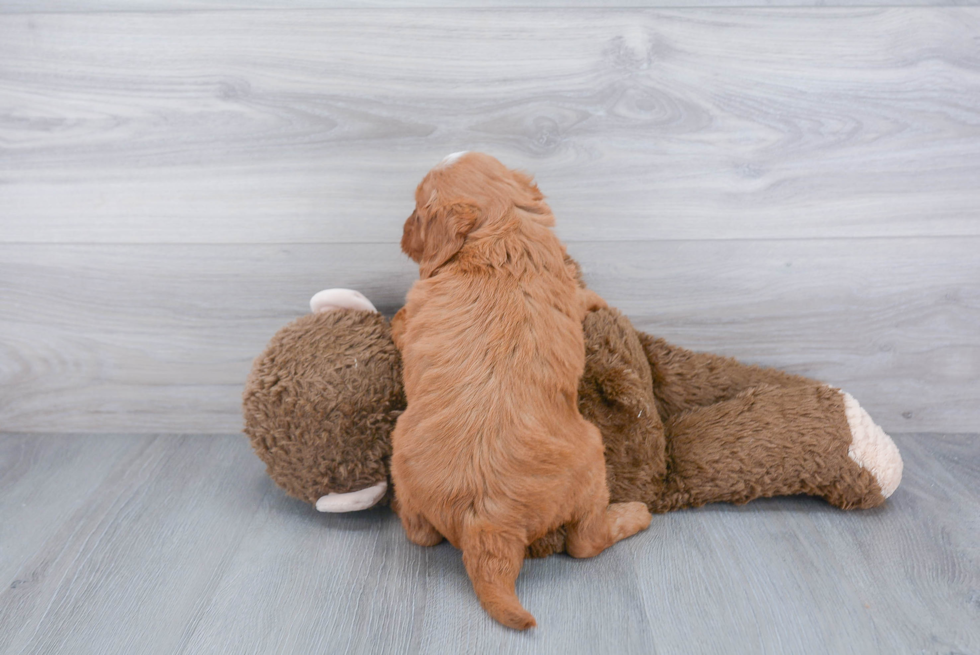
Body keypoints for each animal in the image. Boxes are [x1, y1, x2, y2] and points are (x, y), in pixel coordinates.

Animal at [388, 152, 652, 632]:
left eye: (416, 211)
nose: (401, 233)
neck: (500, 232)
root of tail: (488, 527)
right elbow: (584, 296)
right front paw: (602, 301)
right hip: (593, 457)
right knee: (584, 542)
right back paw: (635, 514)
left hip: (403, 457)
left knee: (419, 534)